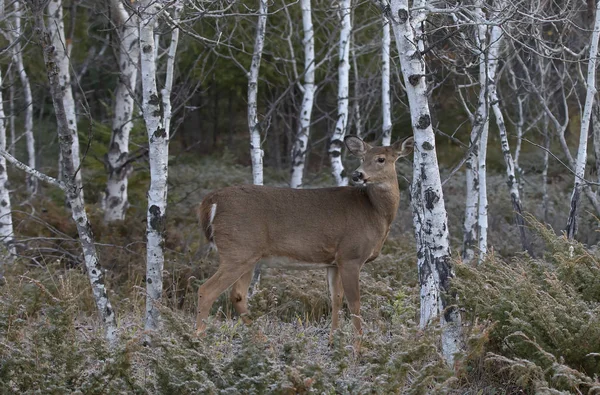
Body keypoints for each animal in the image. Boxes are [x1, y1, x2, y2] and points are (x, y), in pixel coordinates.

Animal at [196, 135, 412, 342]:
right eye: (362, 158)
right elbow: (355, 303)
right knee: (207, 290)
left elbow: (336, 298)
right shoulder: (351, 255)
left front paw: (333, 341)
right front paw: (359, 346)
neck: (375, 213)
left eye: (381, 159)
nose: (357, 174)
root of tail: (211, 201)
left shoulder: (334, 261)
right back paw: (198, 339)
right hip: (238, 251)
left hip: (248, 256)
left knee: (238, 295)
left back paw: (264, 342)